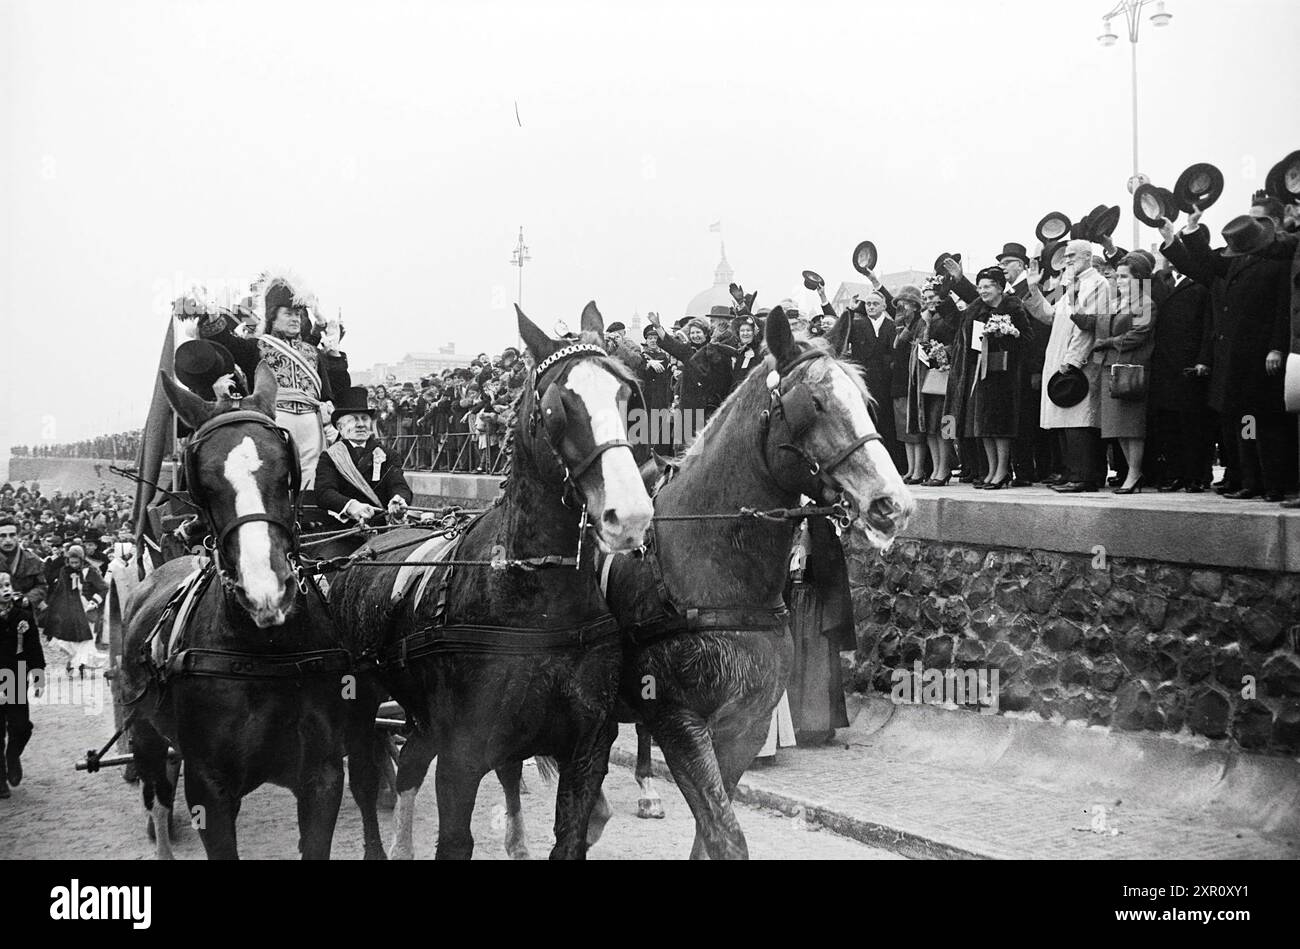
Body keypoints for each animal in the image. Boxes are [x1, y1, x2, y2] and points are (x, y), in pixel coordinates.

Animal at [116, 364, 348, 857]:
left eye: (285, 469)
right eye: (201, 480)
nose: (267, 591)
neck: (268, 651)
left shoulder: (323, 776)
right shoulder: (210, 789)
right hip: (144, 732)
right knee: (157, 797)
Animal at [325, 305, 650, 857]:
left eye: (627, 395)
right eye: (558, 405)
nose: (629, 514)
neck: (538, 600)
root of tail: (372, 540)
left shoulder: (585, 750)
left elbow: (573, 832)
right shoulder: (463, 757)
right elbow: (456, 838)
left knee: (410, 762)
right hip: (361, 703)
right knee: (369, 780)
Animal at [595, 308, 909, 857]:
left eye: (866, 401)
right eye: (814, 403)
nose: (890, 502)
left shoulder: (744, 726)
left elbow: (711, 833)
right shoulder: (682, 722)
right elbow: (725, 834)